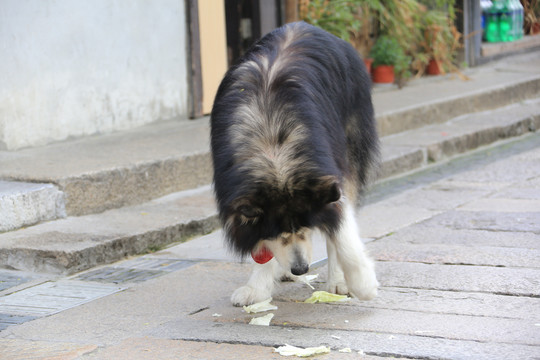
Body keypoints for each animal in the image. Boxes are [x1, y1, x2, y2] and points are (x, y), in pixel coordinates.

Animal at [210, 21, 380, 306]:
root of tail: (305, 25)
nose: (301, 268)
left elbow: (341, 231)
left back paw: (337, 280)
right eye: (277, 230)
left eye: (305, 226)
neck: (275, 155)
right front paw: (257, 287)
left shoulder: (329, 176)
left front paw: (362, 283)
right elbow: (264, 247)